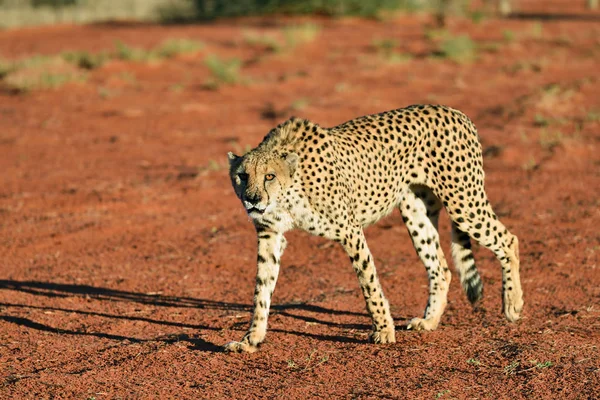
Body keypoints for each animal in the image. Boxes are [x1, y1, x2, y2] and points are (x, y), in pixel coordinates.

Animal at [223, 104, 524, 354]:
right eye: (242, 176)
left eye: (269, 176)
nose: (252, 199)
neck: (289, 191)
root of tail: (455, 112)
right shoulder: (270, 235)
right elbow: (261, 292)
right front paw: (251, 339)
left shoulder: (350, 230)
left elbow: (369, 283)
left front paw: (383, 330)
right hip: (416, 211)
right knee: (440, 267)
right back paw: (429, 321)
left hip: (463, 203)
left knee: (509, 240)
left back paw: (512, 304)